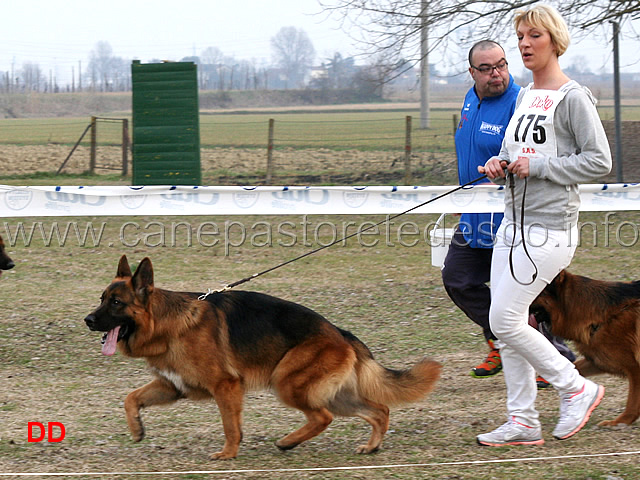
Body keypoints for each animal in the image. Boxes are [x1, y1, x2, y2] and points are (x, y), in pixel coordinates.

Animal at [85, 256, 442, 460]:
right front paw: (137, 429)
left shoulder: (226, 386)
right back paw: (371, 446)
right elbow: (130, 398)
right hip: (335, 394)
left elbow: (231, 426)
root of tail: (340, 333)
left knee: (322, 417)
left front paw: (228, 454)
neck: (168, 324)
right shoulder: (173, 387)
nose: (87, 320)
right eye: (101, 298)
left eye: (116, 303)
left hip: (287, 383)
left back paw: (288, 442)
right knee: (379, 410)